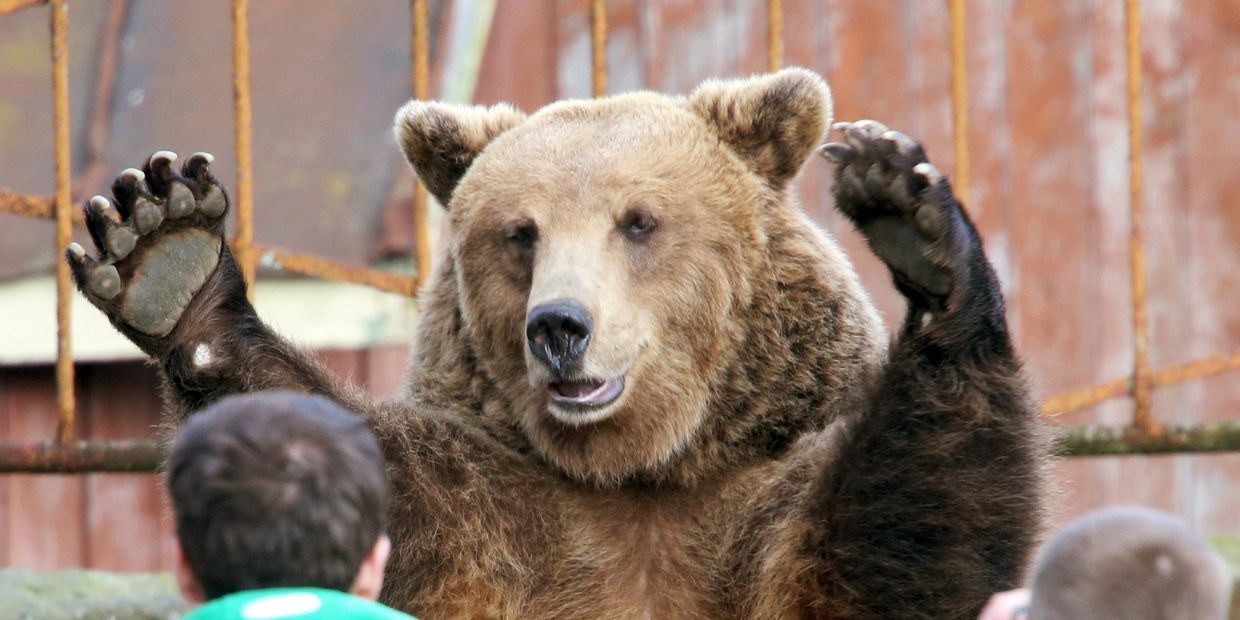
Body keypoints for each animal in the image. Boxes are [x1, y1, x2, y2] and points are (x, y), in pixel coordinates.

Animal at [66, 68, 1045, 619]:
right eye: (521, 233)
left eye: (638, 221)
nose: (559, 327)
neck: (638, 471)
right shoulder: (489, 511)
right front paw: (165, 249)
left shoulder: (755, 500)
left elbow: (900, 537)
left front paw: (917, 226)